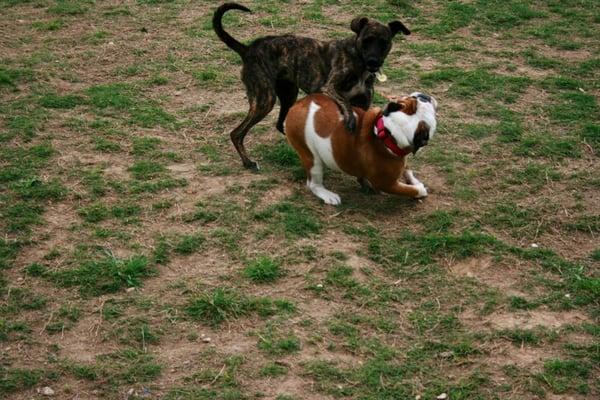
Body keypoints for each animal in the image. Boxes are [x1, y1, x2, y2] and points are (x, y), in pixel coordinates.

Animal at [213, 2, 410, 169]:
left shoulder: (363, 103)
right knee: (236, 133)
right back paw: (248, 162)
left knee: (280, 124)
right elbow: (345, 104)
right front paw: (350, 120)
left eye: (383, 43)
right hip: (265, 100)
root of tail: (247, 49)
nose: (373, 61)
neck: (358, 60)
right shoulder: (328, 88)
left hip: (288, 94)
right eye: (367, 40)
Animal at [284, 92, 438, 205]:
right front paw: (420, 190)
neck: (389, 132)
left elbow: (407, 170)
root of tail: (297, 105)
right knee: (313, 184)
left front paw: (414, 179)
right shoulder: (386, 184)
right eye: (416, 99)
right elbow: (409, 190)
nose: (424, 96)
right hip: (311, 158)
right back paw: (329, 196)